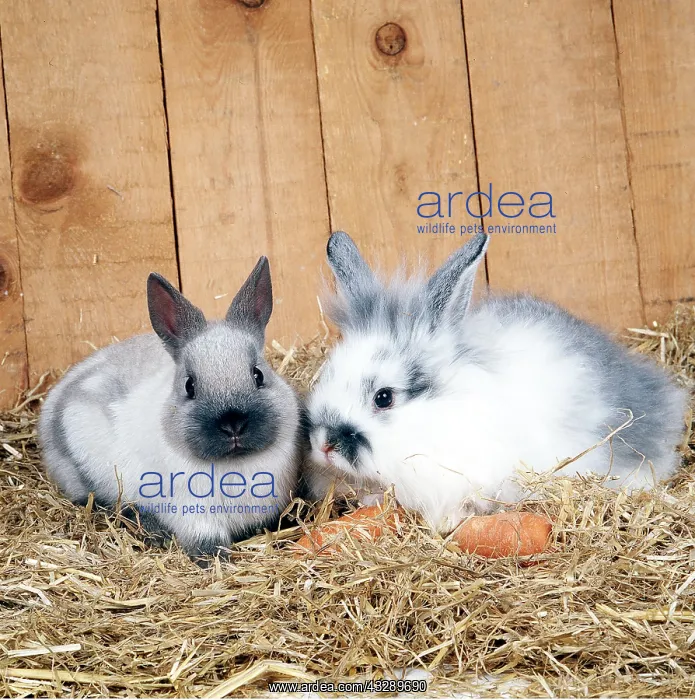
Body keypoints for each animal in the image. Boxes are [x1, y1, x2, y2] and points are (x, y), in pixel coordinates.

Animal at [39, 257, 303, 557]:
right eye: (189, 385)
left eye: (258, 375)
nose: (233, 424)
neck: (236, 465)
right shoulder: (195, 516)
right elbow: (205, 542)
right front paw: (215, 560)